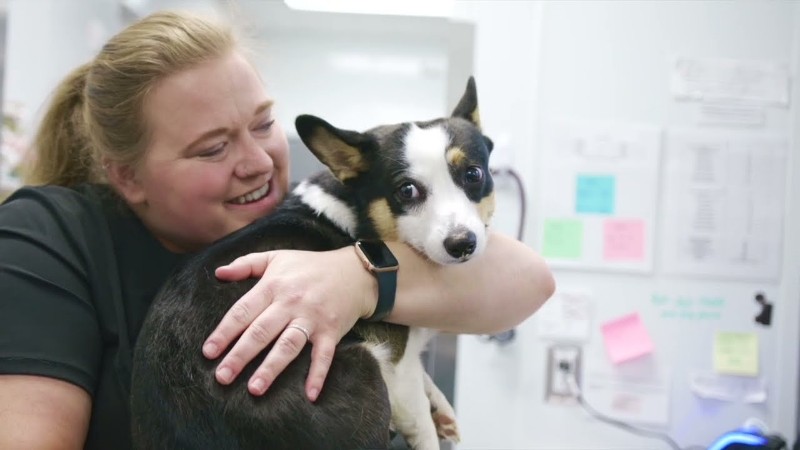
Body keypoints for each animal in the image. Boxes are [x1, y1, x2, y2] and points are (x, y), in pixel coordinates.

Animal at [131, 78, 494, 450]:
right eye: (406, 191)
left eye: (474, 174)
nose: (463, 244)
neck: (358, 216)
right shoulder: (397, 369)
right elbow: (422, 423)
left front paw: (443, 408)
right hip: (363, 367)